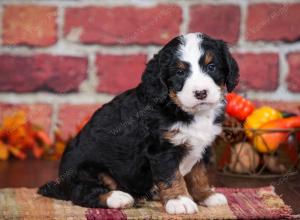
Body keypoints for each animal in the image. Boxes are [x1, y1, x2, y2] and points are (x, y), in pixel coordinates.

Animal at [38, 33, 239, 215]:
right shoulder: (162, 150)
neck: (182, 109)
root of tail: (61, 183)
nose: (201, 93)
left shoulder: (203, 146)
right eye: (179, 72)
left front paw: (206, 195)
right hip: (87, 170)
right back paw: (119, 197)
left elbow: (199, 174)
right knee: (82, 193)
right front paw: (179, 200)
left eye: (211, 66)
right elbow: (172, 176)